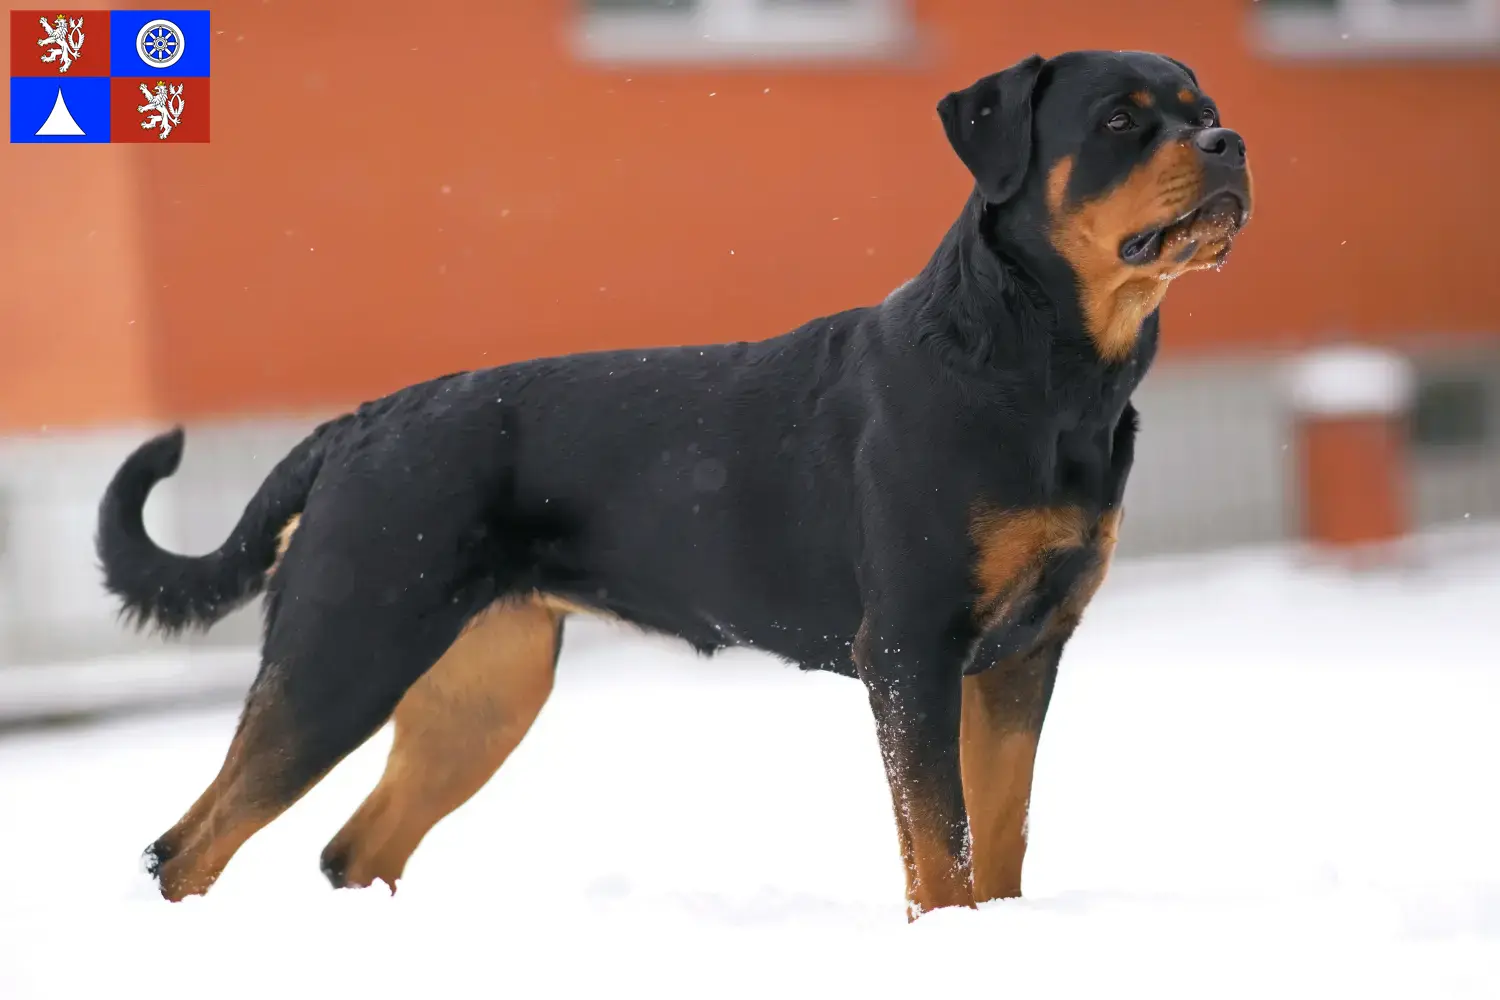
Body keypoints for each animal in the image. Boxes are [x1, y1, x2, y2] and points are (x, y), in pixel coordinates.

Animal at [96, 50, 1254, 917]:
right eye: (1120, 120)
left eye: (1203, 113)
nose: (1228, 143)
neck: (1046, 372)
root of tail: (359, 422)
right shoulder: (909, 650)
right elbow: (941, 843)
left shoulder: (1025, 650)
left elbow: (1000, 833)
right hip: (345, 650)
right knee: (187, 846)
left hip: (483, 689)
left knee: (352, 850)